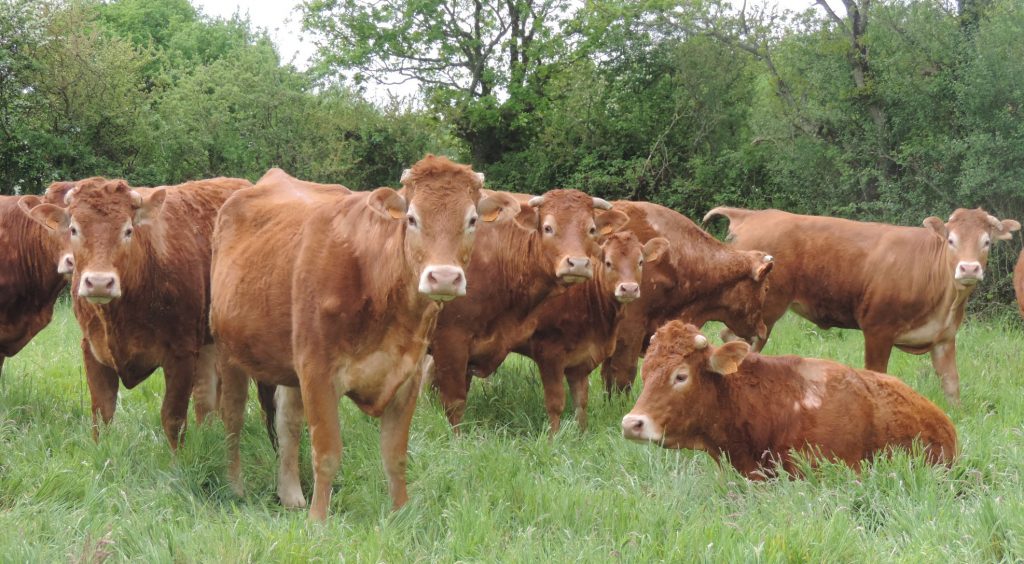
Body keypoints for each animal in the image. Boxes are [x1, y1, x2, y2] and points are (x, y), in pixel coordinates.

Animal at [22, 176, 251, 449]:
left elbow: (173, 418)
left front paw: (178, 459)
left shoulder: (182, 353)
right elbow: (102, 413)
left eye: (128, 230)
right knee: (207, 396)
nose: (99, 283)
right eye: (74, 229)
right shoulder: (92, 349)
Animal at [210, 157, 520, 521]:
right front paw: (318, 521)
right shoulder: (318, 372)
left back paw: (290, 494)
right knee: (233, 418)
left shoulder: (407, 375)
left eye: (472, 220)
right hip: (228, 349)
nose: (443, 277)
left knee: (287, 420)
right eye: (412, 218)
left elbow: (395, 455)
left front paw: (401, 514)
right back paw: (236, 487)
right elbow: (327, 452)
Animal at [513, 231, 668, 435]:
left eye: (640, 261)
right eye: (608, 262)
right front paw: (553, 437)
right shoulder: (548, 354)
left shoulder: (581, 358)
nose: (629, 288)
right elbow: (556, 403)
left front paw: (581, 434)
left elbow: (581, 402)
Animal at [703, 207, 1020, 403]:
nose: (969, 269)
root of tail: (753, 215)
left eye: (987, 242)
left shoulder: (944, 337)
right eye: (951, 240)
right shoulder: (878, 330)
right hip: (763, 312)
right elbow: (879, 375)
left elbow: (951, 384)